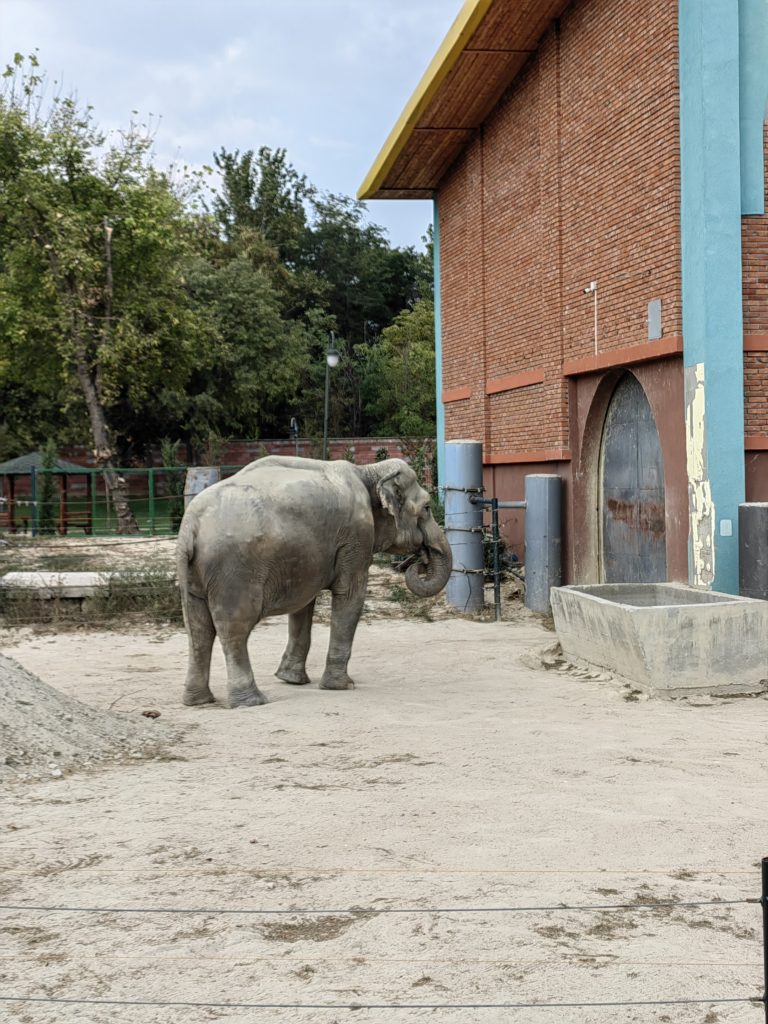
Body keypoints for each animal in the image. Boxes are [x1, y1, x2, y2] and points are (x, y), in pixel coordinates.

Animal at [176, 456, 450, 704]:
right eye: (427, 508)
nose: (420, 560)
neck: (367, 471)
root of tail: (190, 527)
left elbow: (303, 604)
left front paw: (291, 679)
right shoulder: (356, 537)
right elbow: (350, 595)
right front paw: (342, 686)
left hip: (194, 572)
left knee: (198, 628)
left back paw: (198, 700)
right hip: (234, 571)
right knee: (234, 627)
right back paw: (251, 701)